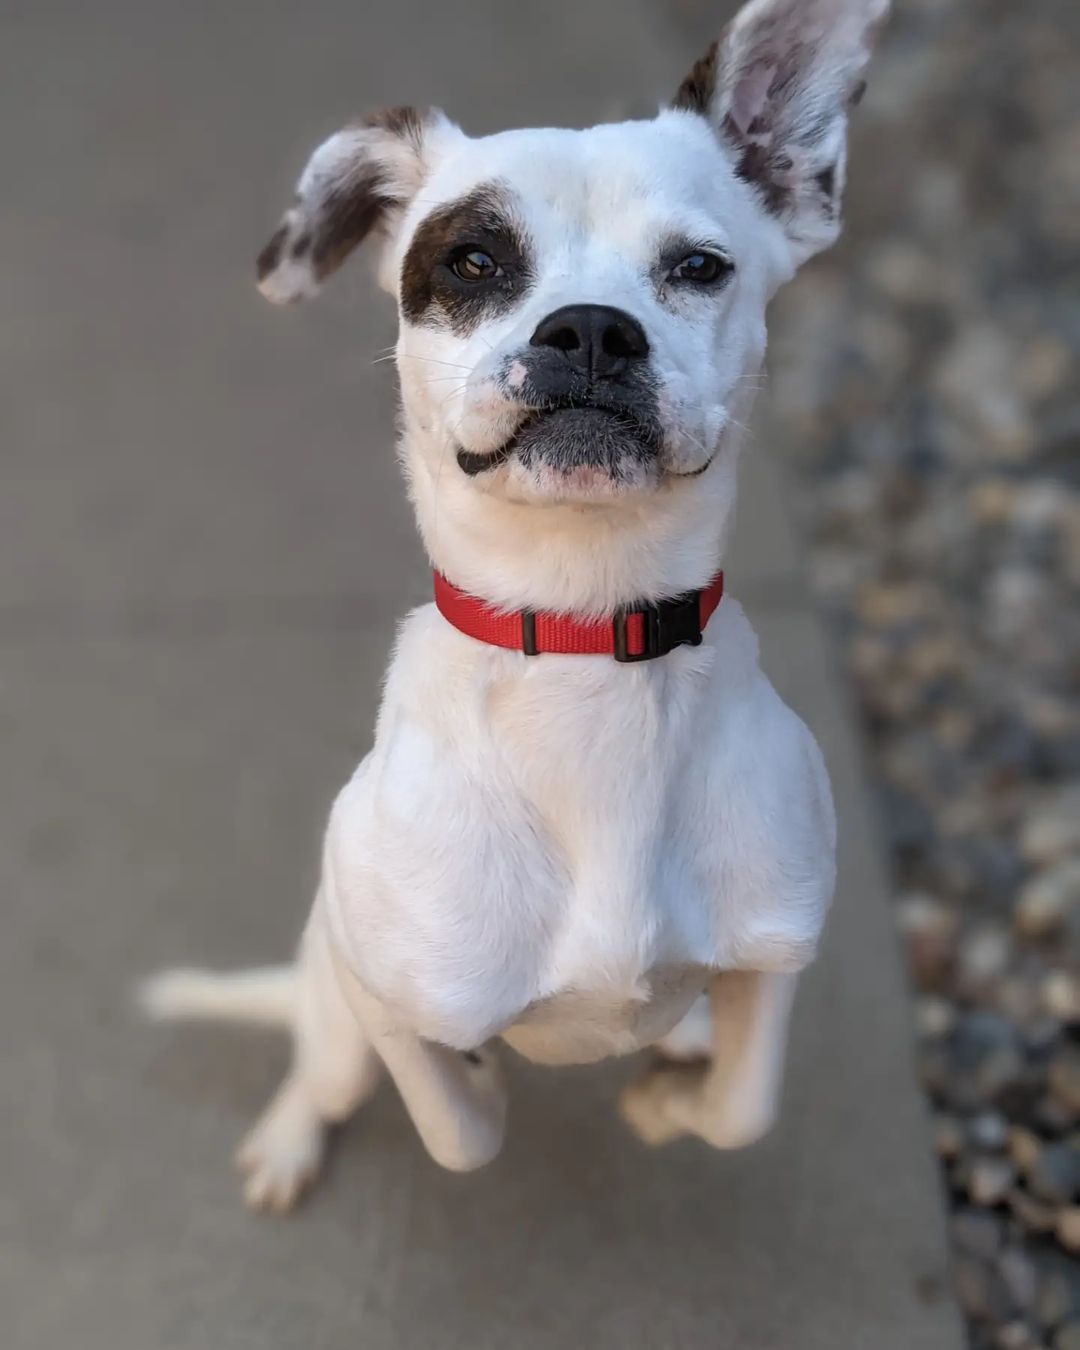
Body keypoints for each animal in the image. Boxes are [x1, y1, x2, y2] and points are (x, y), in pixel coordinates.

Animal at [141, 0, 885, 1215]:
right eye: (474, 259)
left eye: (699, 266)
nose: (590, 329)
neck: (586, 651)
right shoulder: (393, 1006)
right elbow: (460, 1128)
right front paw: (490, 1077)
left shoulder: (775, 955)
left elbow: (741, 1108)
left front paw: (668, 1102)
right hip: (332, 1003)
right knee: (322, 1071)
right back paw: (292, 1140)